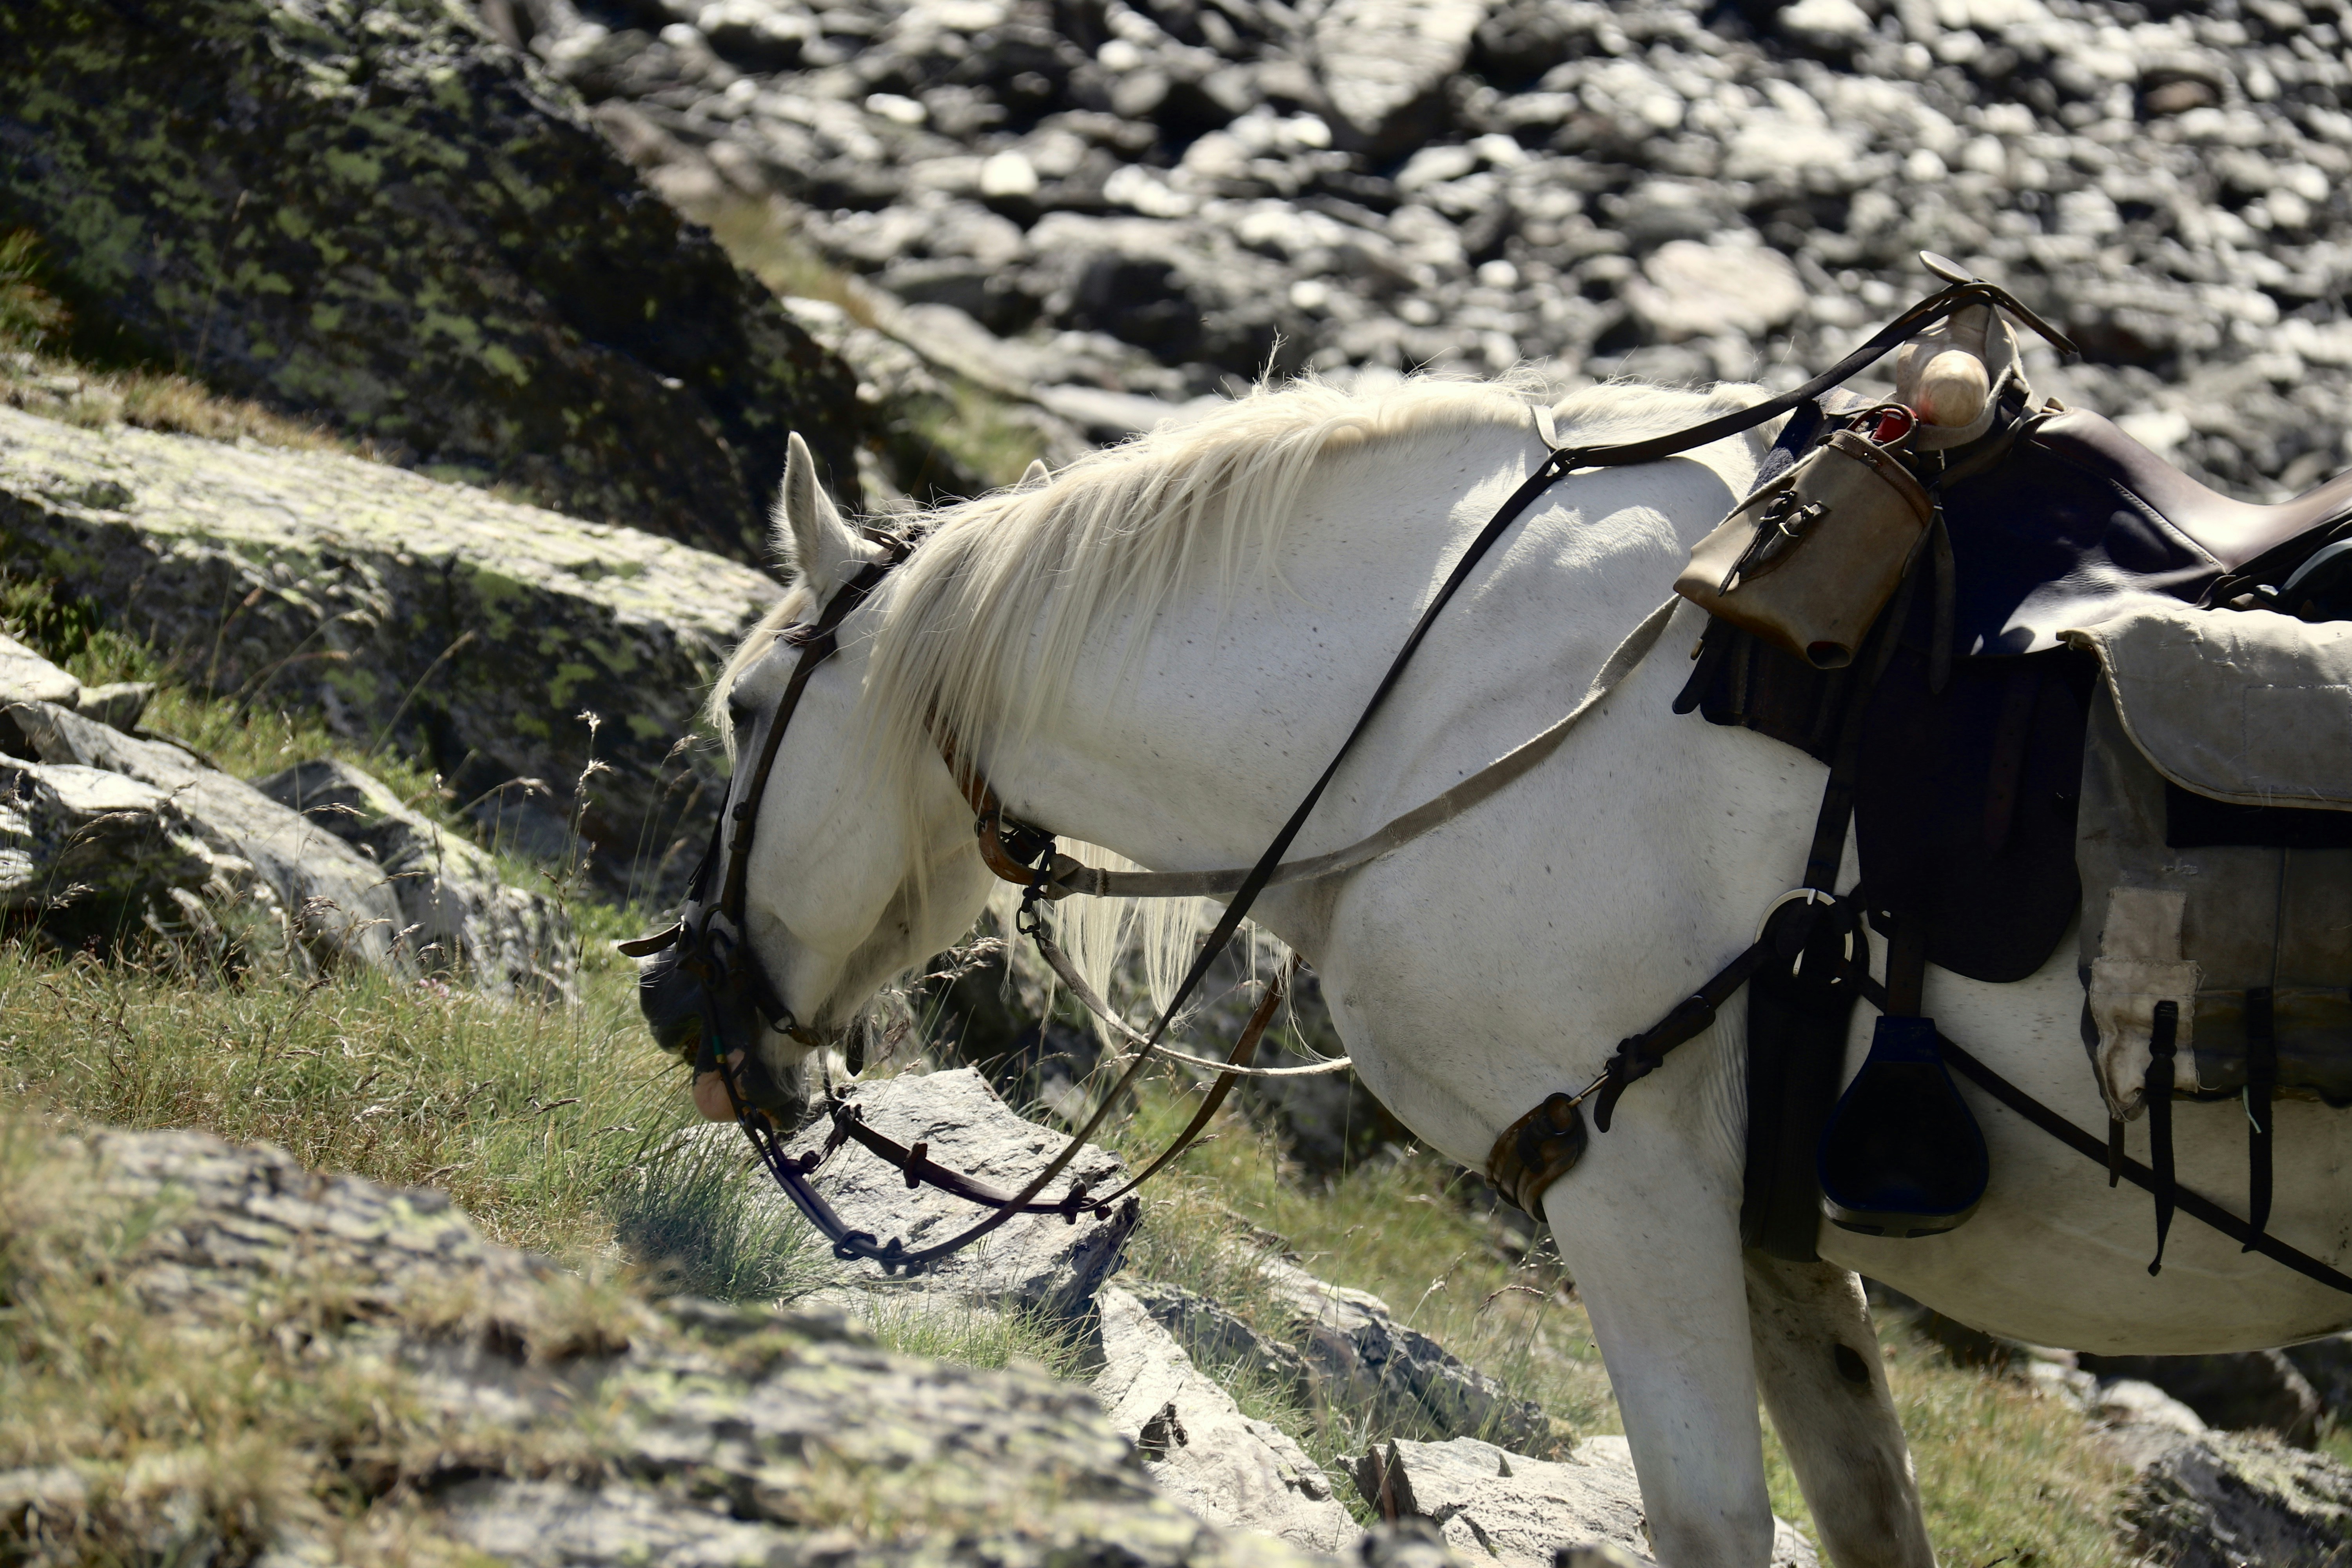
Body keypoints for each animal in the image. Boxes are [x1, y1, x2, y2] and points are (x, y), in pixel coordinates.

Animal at [671, 376, 2352, 1567]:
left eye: (747, 707)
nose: (678, 1000)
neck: (1472, 691)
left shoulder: (1625, 1175)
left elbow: (1712, 1520)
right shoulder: (1777, 1239)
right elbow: (1871, 1517)